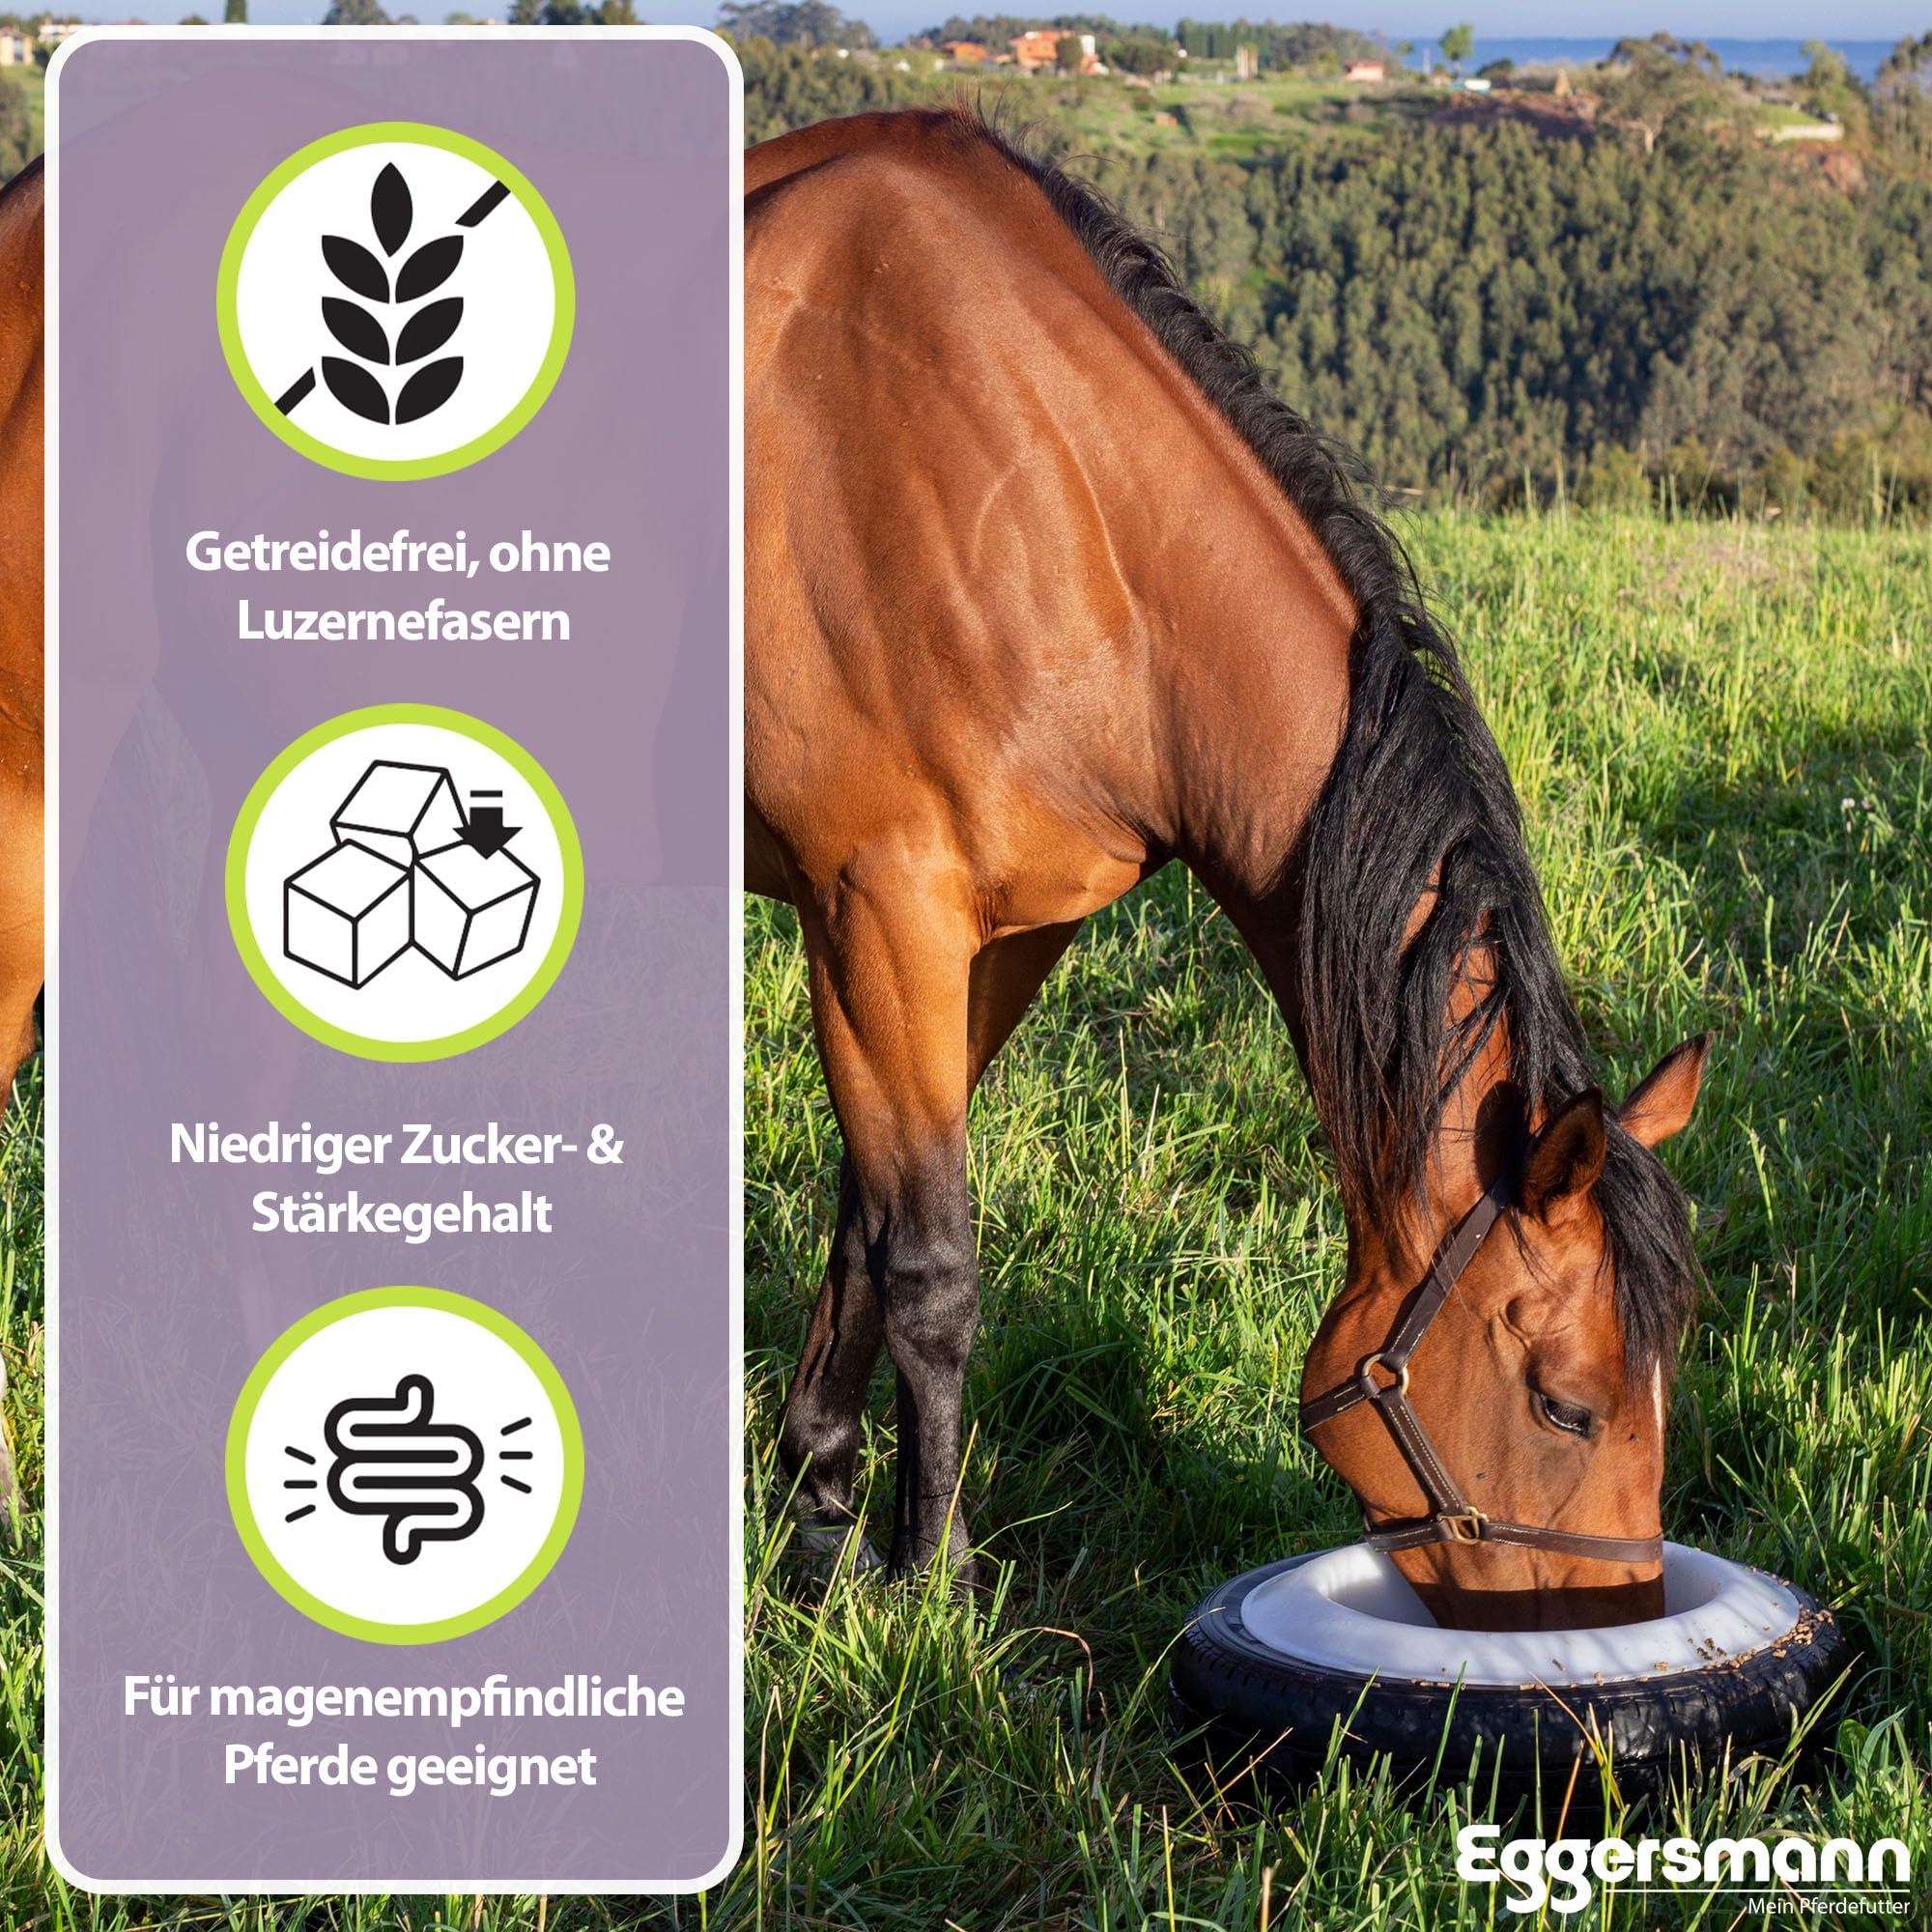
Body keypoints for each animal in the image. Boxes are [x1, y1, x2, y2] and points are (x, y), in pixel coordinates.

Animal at [745, 109, 1711, 1632]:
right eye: (1564, 1404)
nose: (1612, 1635)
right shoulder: (878, 916)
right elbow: (934, 1267)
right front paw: (931, 1584)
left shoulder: (995, 937)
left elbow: (867, 1221)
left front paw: (824, 1506)